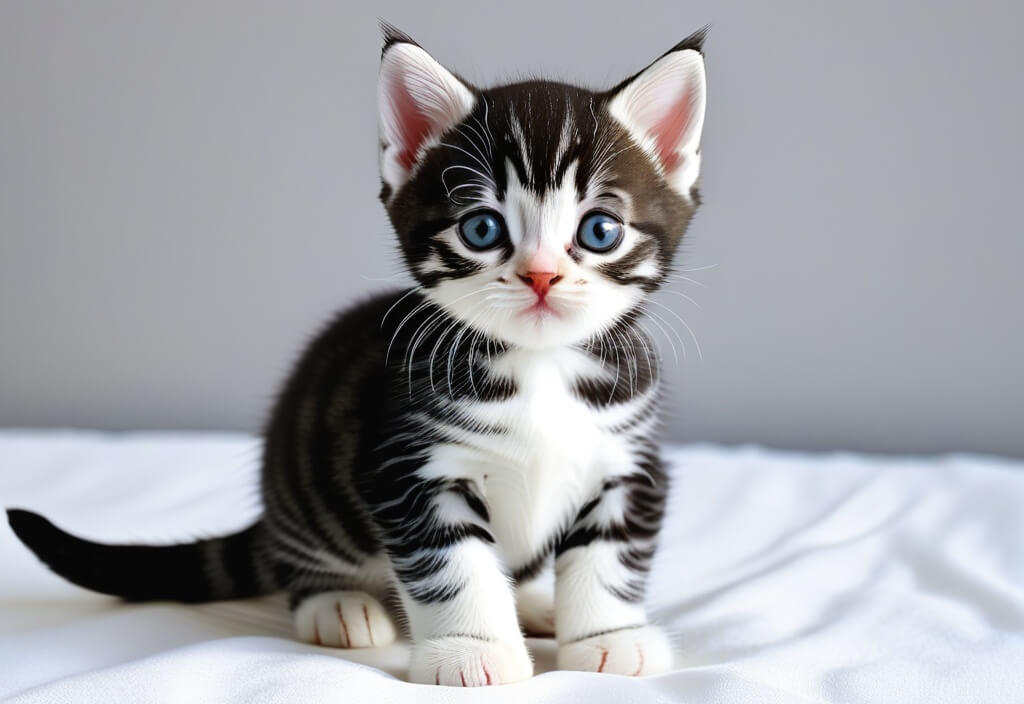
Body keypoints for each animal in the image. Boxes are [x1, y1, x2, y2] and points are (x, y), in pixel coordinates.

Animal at [8, 24, 708, 683]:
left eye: (600, 230)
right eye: (482, 229)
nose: (541, 276)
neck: (539, 368)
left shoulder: (629, 464)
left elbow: (609, 557)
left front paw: (609, 639)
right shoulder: (408, 467)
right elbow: (455, 567)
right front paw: (471, 649)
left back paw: (535, 601)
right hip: (305, 482)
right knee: (301, 562)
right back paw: (339, 605)